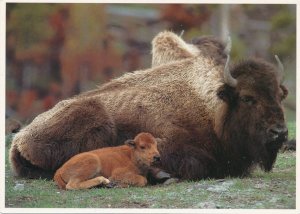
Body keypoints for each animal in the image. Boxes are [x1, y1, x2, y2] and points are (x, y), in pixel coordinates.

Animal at [9, 30, 288, 180]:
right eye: (248, 97)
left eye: (278, 95)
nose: (280, 132)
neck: (212, 108)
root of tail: (20, 140)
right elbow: (197, 163)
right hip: (96, 119)